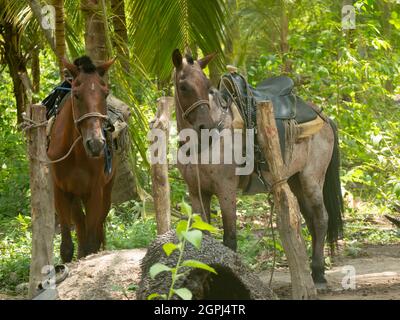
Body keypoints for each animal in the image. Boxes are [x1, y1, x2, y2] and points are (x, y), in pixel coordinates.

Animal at [47, 55, 115, 262]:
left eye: (105, 94)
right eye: (76, 94)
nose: (96, 144)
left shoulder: (95, 191)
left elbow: (93, 243)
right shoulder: (60, 191)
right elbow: (66, 248)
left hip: (106, 190)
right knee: (80, 222)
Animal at [172, 49, 344, 288]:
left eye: (207, 86)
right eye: (183, 86)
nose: (205, 126)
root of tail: (323, 116)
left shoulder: (226, 190)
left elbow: (229, 240)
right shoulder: (197, 192)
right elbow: (201, 238)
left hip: (312, 179)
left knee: (320, 219)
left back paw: (318, 274)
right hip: (295, 180)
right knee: (310, 219)